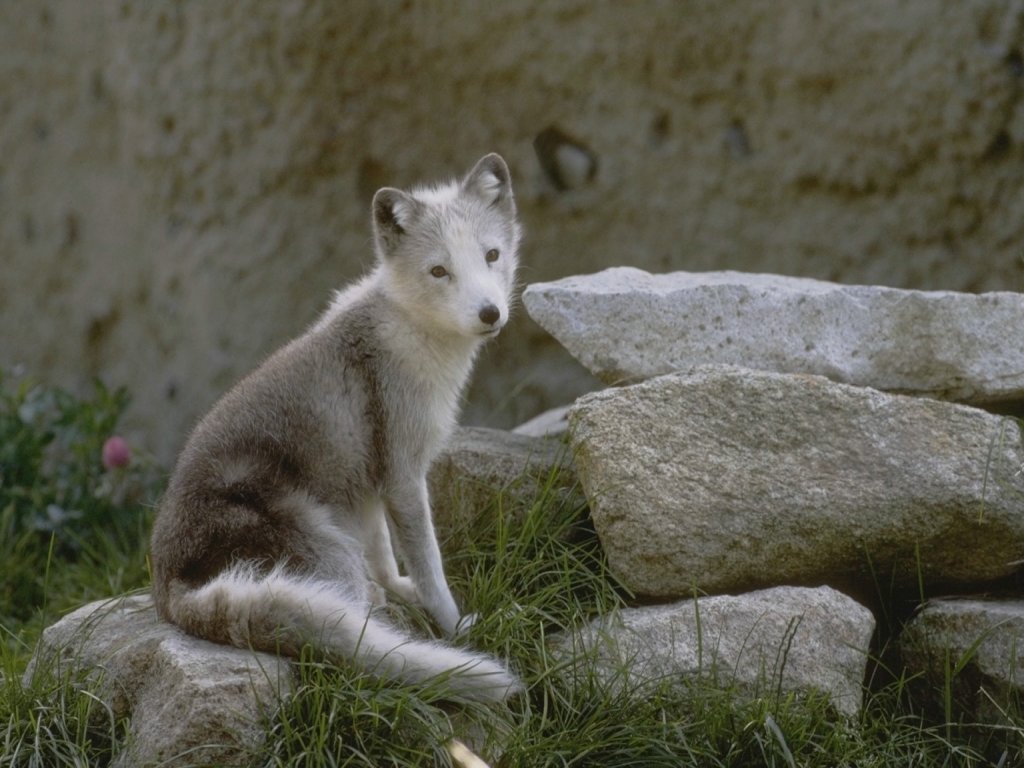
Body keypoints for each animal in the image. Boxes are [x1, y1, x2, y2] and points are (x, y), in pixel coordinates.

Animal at [151, 151, 524, 704]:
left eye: (492, 255)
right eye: (439, 271)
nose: (489, 313)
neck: (406, 329)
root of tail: (168, 590)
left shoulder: (367, 486)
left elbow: (387, 557)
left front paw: (404, 590)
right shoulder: (402, 473)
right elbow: (430, 566)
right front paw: (454, 626)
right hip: (323, 539)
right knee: (354, 631)